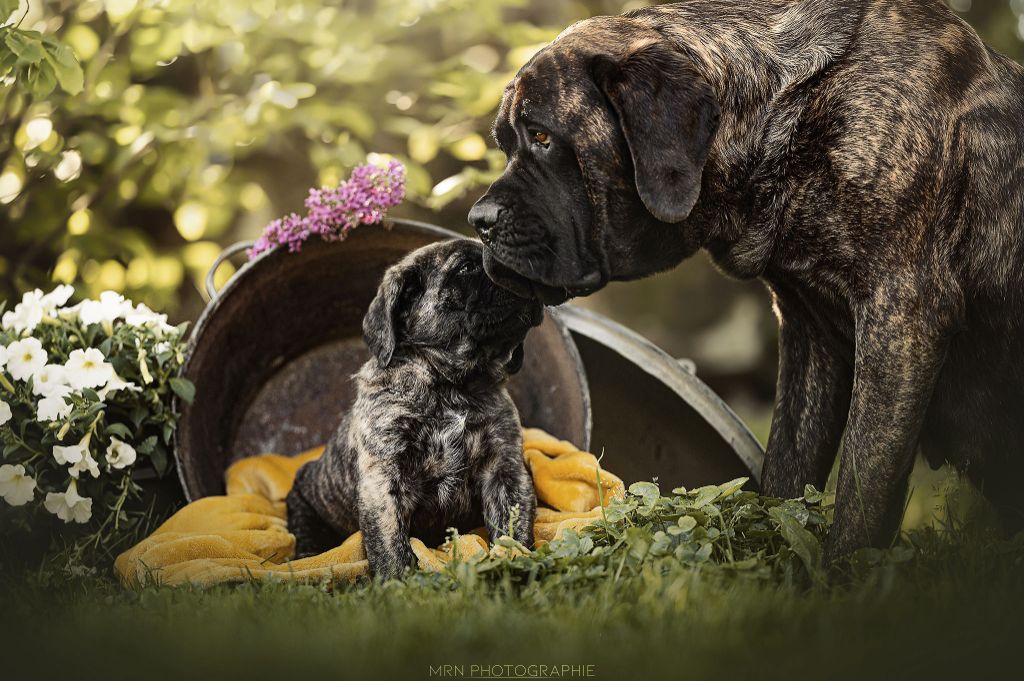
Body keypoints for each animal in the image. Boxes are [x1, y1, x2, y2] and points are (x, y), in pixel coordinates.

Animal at [284, 238, 540, 577]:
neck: (451, 385)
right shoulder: (384, 478)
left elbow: (512, 527)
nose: (527, 277)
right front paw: (399, 583)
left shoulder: (505, 468)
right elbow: (391, 545)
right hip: (305, 505)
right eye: (467, 267)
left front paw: (518, 566)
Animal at [468, 2, 1024, 561]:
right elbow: (785, 472)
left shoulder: (900, 323)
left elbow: (861, 493)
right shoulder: (809, 336)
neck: (796, 111)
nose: (479, 219)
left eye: (542, 138)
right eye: (505, 144)